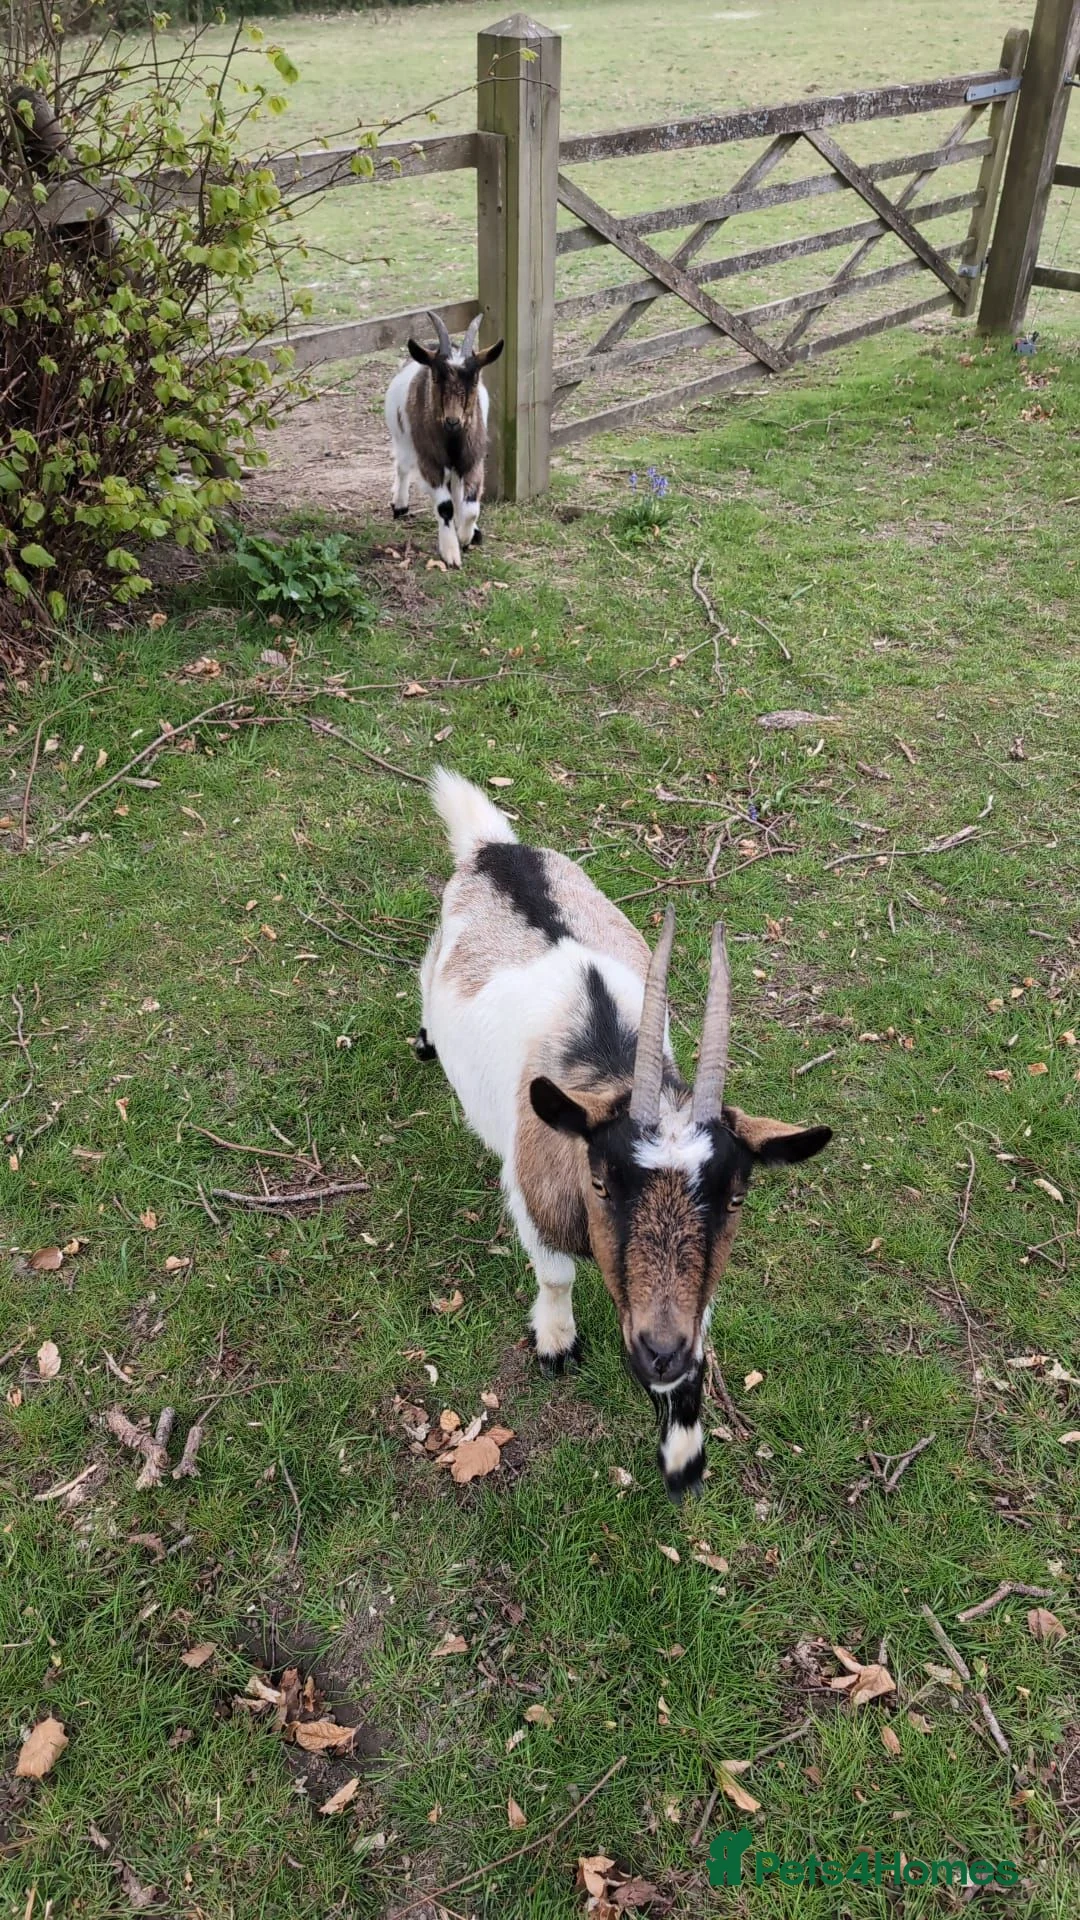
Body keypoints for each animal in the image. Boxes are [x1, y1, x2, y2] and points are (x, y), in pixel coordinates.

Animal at [383, 312, 503, 568]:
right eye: (436, 377)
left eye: (474, 379)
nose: (453, 420)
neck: (452, 440)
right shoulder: (430, 462)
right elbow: (444, 506)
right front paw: (451, 553)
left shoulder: (472, 460)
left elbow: (471, 507)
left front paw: (466, 536)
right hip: (403, 440)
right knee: (402, 467)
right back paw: (400, 505)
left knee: (457, 490)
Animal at [416, 771, 832, 1500]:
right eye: (602, 1183)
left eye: (736, 1197)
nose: (658, 1353)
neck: (610, 1065)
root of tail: (495, 848)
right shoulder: (530, 1196)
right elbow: (554, 1274)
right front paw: (557, 1342)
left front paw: (684, 1452)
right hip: (439, 953)